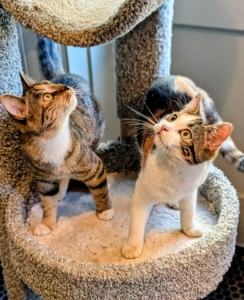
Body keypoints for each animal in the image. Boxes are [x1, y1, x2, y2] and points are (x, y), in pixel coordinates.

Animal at [0, 71, 114, 236]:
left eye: (50, 83)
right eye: (47, 97)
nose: (66, 86)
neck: (52, 139)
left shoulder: (94, 166)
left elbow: (100, 190)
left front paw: (105, 211)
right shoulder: (44, 180)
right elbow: (47, 203)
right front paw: (46, 224)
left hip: (95, 133)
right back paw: (60, 192)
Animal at [122, 77, 234, 258]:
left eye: (186, 134)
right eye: (172, 118)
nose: (163, 127)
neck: (174, 168)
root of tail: (177, 77)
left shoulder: (191, 189)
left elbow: (189, 210)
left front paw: (189, 228)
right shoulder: (142, 189)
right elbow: (137, 221)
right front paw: (132, 246)